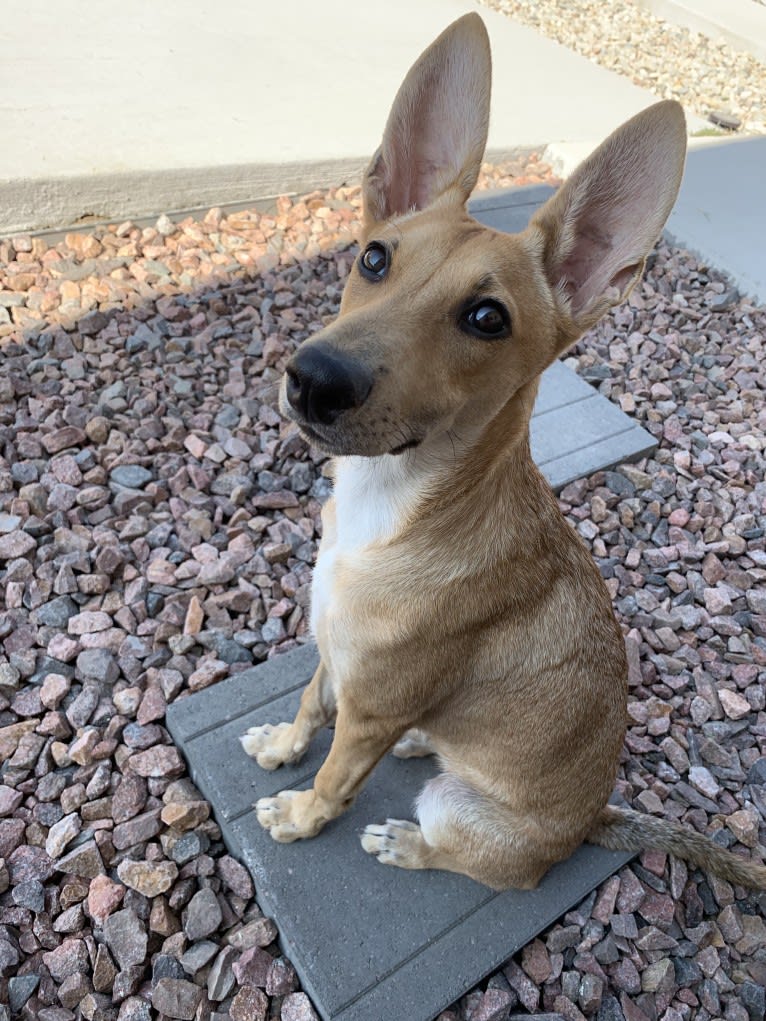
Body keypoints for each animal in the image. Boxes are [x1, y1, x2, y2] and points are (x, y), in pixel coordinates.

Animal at [241, 11, 766, 890]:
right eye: (374, 257)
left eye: (487, 318)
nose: (313, 380)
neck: (392, 508)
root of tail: (594, 820)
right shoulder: (335, 654)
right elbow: (311, 701)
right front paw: (281, 744)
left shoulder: (373, 707)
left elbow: (337, 773)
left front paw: (303, 814)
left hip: (457, 807)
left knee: (478, 863)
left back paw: (406, 840)